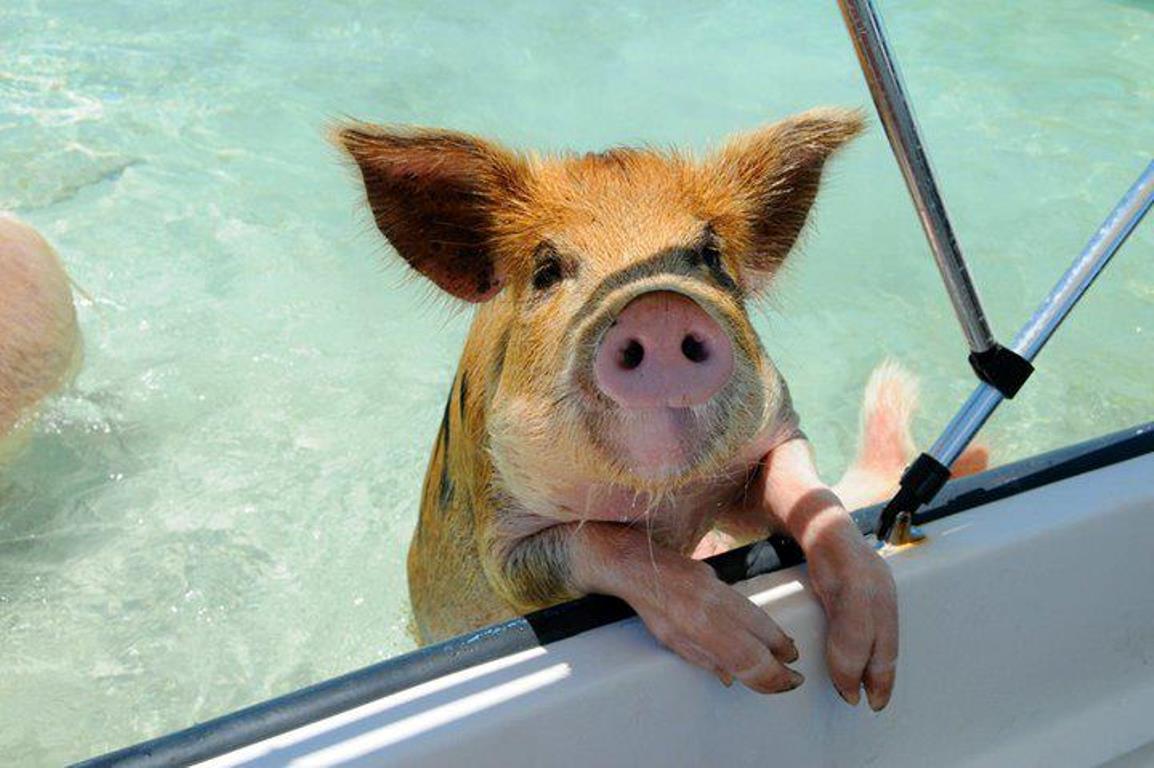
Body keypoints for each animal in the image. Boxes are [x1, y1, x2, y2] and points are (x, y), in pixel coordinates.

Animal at [332, 108, 983, 710]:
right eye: (546, 270)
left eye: (710, 255)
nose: (660, 308)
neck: (665, 500)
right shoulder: (506, 540)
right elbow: (603, 545)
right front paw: (774, 663)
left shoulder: (773, 434)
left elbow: (816, 502)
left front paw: (864, 684)